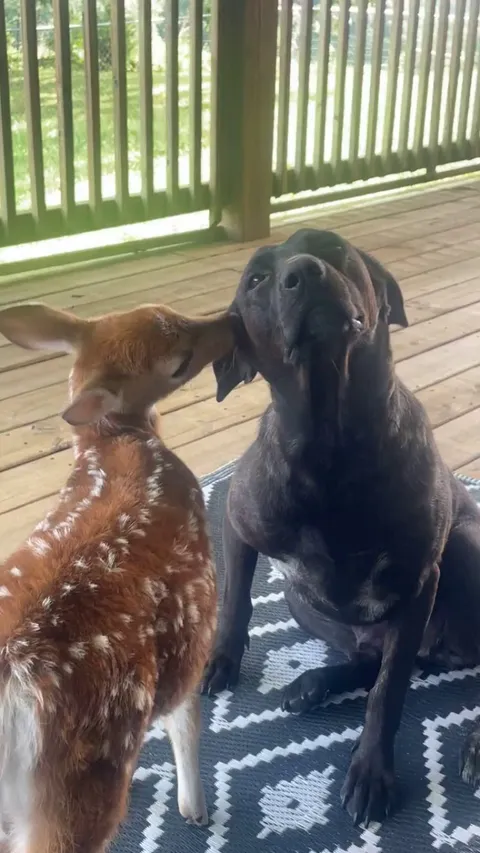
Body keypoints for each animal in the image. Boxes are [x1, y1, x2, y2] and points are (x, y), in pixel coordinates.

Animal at [0, 301, 234, 853]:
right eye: (179, 361)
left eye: (170, 310)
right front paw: (195, 807)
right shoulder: (195, 618)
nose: (234, 322)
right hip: (76, 790)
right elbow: (186, 722)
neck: (115, 444)